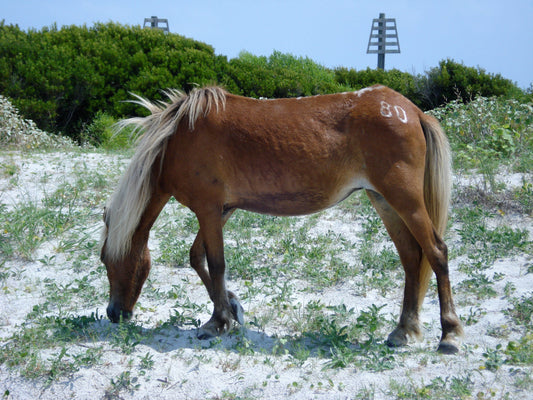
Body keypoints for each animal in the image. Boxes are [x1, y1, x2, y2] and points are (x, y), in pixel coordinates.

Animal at [100, 84, 462, 354]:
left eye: (106, 259)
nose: (114, 314)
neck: (178, 139)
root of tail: (413, 111)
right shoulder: (222, 211)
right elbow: (198, 257)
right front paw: (232, 307)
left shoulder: (208, 209)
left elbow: (215, 263)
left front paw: (217, 321)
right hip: (385, 202)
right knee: (412, 258)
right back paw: (404, 330)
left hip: (405, 200)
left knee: (436, 252)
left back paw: (450, 334)